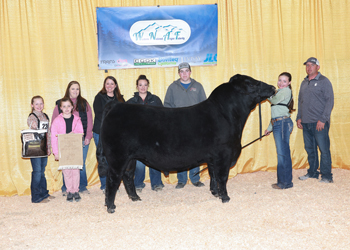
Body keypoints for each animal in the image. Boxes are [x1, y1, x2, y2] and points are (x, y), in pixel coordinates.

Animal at [98, 74, 276, 213]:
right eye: (252, 83)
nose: (273, 87)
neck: (227, 115)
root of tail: (116, 105)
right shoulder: (224, 155)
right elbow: (222, 177)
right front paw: (225, 197)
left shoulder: (213, 158)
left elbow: (213, 176)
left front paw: (215, 193)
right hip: (117, 157)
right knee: (113, 178)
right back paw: (110, 206)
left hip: (130, 159)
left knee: (127, 176)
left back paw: (135, 198)